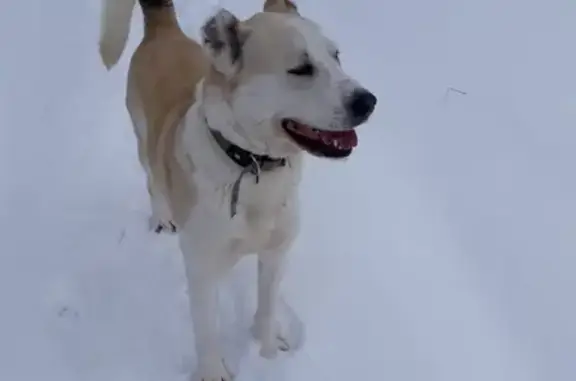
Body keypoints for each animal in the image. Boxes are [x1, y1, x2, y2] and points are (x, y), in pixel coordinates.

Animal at [99, 0, 378, 378]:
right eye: (301, 68)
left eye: (337, 57)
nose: (368, 101)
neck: (254, 166)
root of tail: (163, 28)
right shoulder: (201, 268)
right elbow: (206, 331)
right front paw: (213, 372)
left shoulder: (276, 253)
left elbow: (268, 308)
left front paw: (269, 351)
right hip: (144, 140)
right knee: (152, 179)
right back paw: (162, 216)